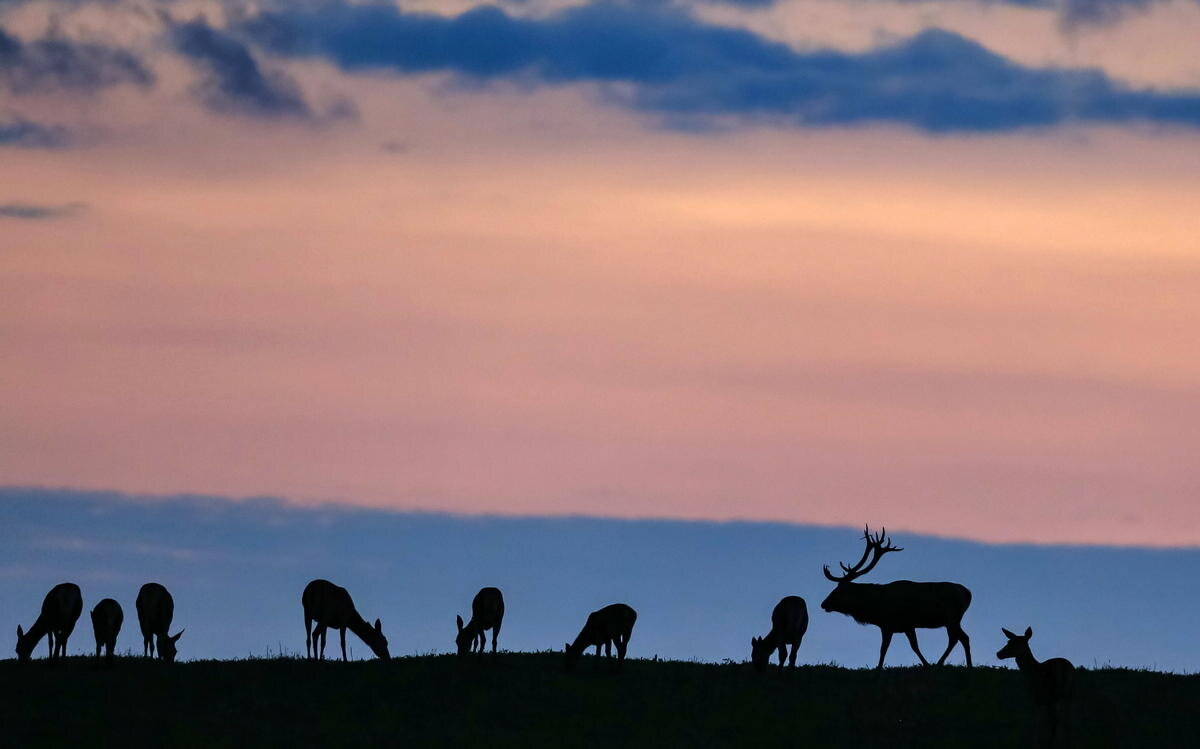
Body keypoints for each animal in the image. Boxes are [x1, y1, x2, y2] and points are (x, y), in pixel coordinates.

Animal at [820, 523, 969, 672]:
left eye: (839, 591)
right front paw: (926, 664)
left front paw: (880, 668)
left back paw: (951, 663)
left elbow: (889, 648)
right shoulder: (898, 626)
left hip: (952, 618)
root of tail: (968, 594)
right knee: (958, 638)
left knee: (961, 638)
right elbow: (906, 647)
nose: (823, 604)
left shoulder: (894, 624)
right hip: (952, 620)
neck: (875, 607)